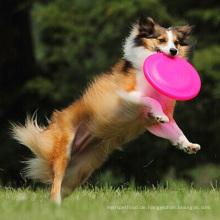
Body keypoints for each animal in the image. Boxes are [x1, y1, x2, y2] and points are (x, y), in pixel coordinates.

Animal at [11, 15, 201, 204]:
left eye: (176, 42)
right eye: (161, 40)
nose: (174, 51)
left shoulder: (153, 122)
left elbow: (175, 129)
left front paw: (187, 145)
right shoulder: (127, 94)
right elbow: (151, 101)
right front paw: (160, 114)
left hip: (80, 171)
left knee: (59, 186)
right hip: (63, 152)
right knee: (55, 186)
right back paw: (56, 205)